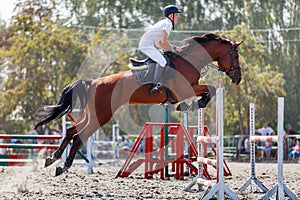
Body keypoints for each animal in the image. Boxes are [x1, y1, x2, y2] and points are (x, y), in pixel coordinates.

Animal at [34, 33, 243, 177]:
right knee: (78, 136)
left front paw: (191, 105)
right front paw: (194, 104)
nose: (238, 78)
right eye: (235, 56)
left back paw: (53, 158)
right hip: (102, 115)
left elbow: (210, 89)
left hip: (92, 114)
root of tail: (92, 82)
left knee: (72, 131)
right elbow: (211, 89)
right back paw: (63, 165)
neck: (189, 61)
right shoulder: (184, 90)